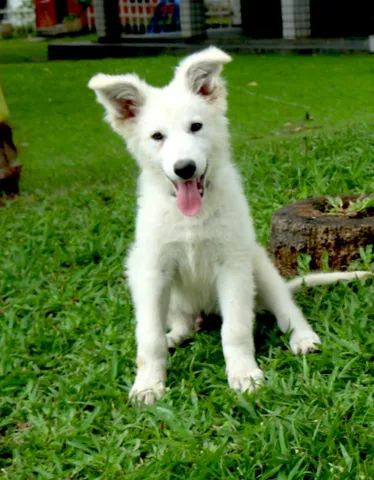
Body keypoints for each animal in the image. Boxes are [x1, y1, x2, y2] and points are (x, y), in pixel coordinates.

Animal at [88, 47, 372, 404]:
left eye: (196, 126)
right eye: (157, 137)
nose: (184, 168)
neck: (191, 217)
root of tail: (206, 310)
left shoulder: (232, 266)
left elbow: (235, 329)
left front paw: (244, 375)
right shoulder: (153, 270)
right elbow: (149, 337)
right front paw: (149, 384)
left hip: (259, 267)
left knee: (286, 309)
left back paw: (303, 338)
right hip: (152, 278)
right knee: (184, 322)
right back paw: (175, 335)